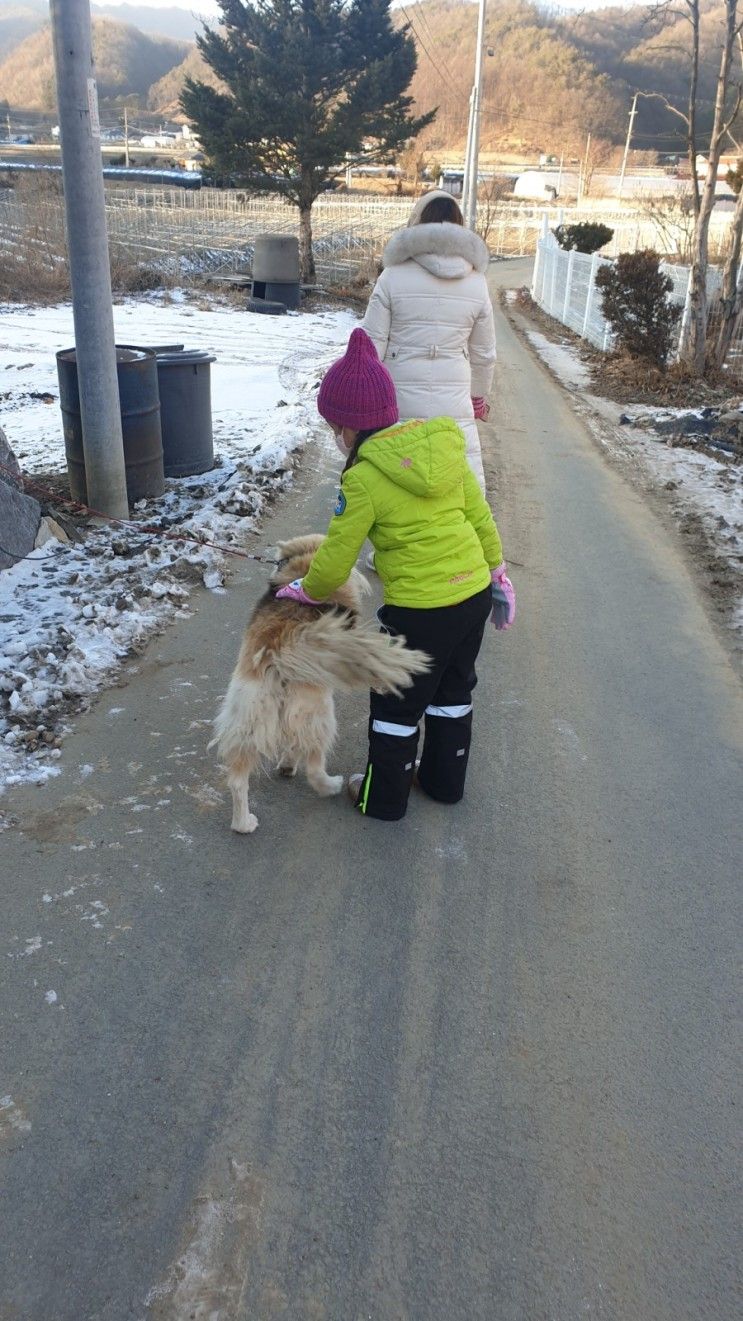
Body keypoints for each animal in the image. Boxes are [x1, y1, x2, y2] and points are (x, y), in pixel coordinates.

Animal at [211, 531, 428, 829]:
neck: (304, 565)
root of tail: (278, 656)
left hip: (249, 719)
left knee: (239, 780)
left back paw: (244, 822)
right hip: (319, 715)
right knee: (312, 764)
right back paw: (330, 785)